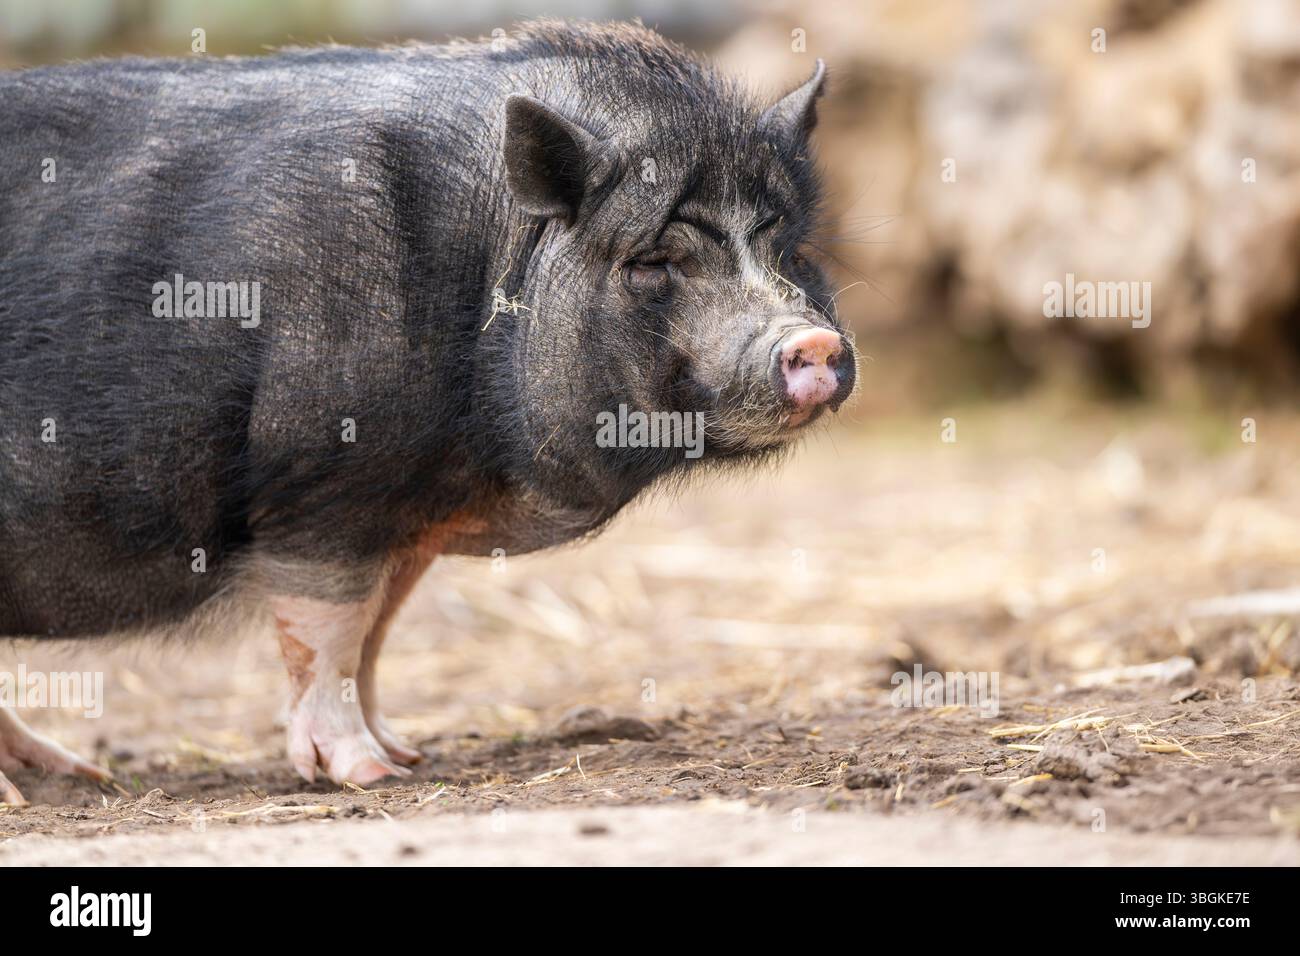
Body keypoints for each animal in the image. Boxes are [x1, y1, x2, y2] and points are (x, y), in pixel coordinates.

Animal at [0, 19, 856, 804]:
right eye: (653, 260)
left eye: (789, 252)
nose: (812, 340)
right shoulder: (320, 482)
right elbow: (328, 631)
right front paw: (368, 776)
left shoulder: (404, 515)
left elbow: (375, 633)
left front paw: (408, 756)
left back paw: (68, 776)